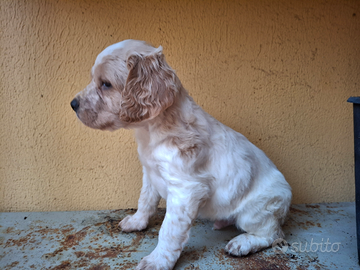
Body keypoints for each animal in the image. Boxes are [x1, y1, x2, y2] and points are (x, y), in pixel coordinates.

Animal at [71, 40, 292, 270]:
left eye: (106, 84)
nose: (73, 104)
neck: (150, 131)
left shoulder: (186, 190)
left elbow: (169, 230)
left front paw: (157, 261)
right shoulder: (149, 172)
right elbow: (145, 200)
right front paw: (136, 222)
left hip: (256, 212)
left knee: (273, 234)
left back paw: (242, 243)